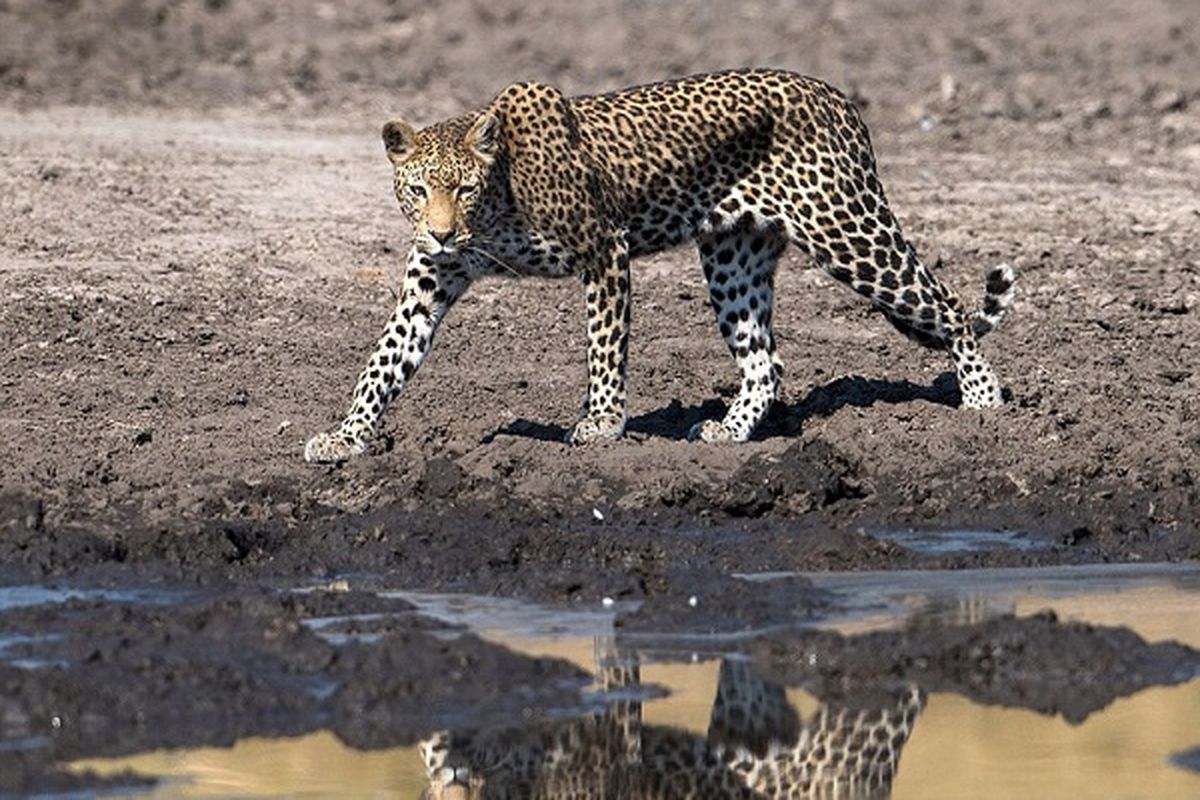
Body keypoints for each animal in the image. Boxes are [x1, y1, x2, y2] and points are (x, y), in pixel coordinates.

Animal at [302, 68, 1012, 462]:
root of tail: (839, 97)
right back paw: (730, 431)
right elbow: (383, 362)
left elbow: (604, 348)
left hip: (847, 232)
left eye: (465, 189)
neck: (498, 204)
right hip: (732, 257)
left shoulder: (604, 250)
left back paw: (984, 402)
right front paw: (346, 437)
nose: (442, 231)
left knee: (950, 307)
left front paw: (601, 424)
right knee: (765, 360)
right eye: (419, 189)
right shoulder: (430, 280)